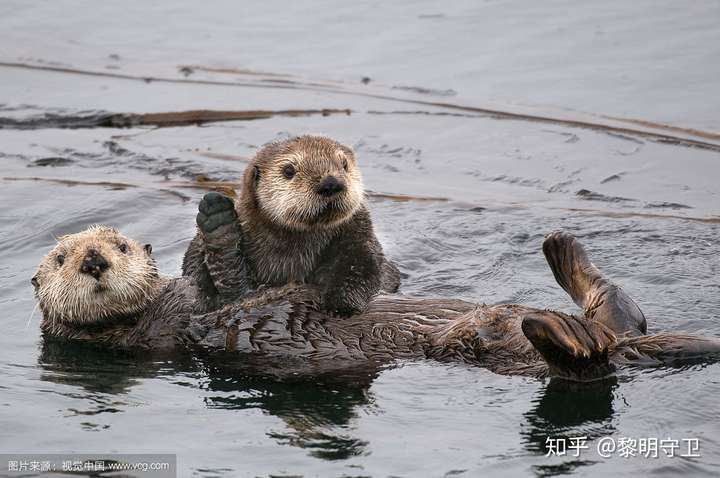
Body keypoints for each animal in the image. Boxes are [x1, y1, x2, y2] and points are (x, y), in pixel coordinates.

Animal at [181, 134, 400, 316]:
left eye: (344, 164)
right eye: (288, 170)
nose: (330, 183)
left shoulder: (357, 236)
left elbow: (363, 268)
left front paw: (341, 304)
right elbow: (194, 270)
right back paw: (217, 220)